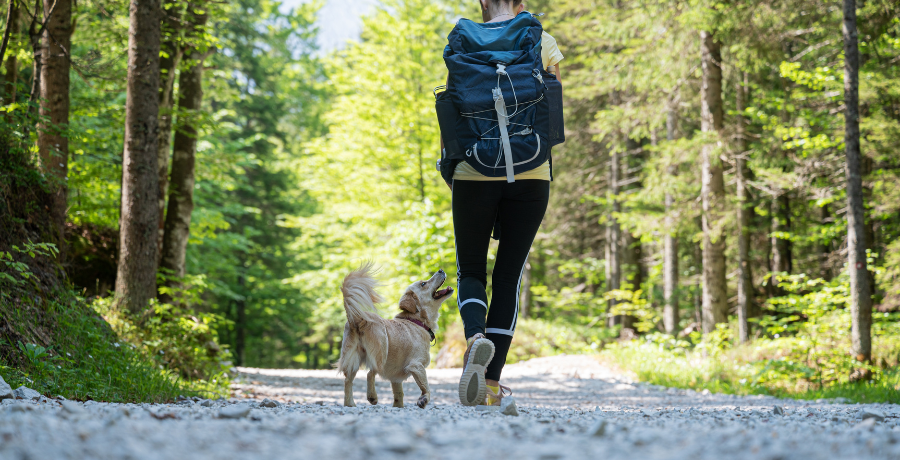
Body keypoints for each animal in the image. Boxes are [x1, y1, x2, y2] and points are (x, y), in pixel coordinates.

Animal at [336, 264, 454, 408]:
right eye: (423, 284)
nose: (441, 270)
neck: (417, 321)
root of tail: (358, 319)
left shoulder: (396, 379)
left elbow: (399, 395)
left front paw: (398, 406)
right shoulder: (416, 365)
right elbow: (426, 386)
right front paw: (423, 399)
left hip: (352, 359)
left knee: (348, 380)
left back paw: (350, 404)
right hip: (381, 350)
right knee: (371, 373)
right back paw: (372, 396)